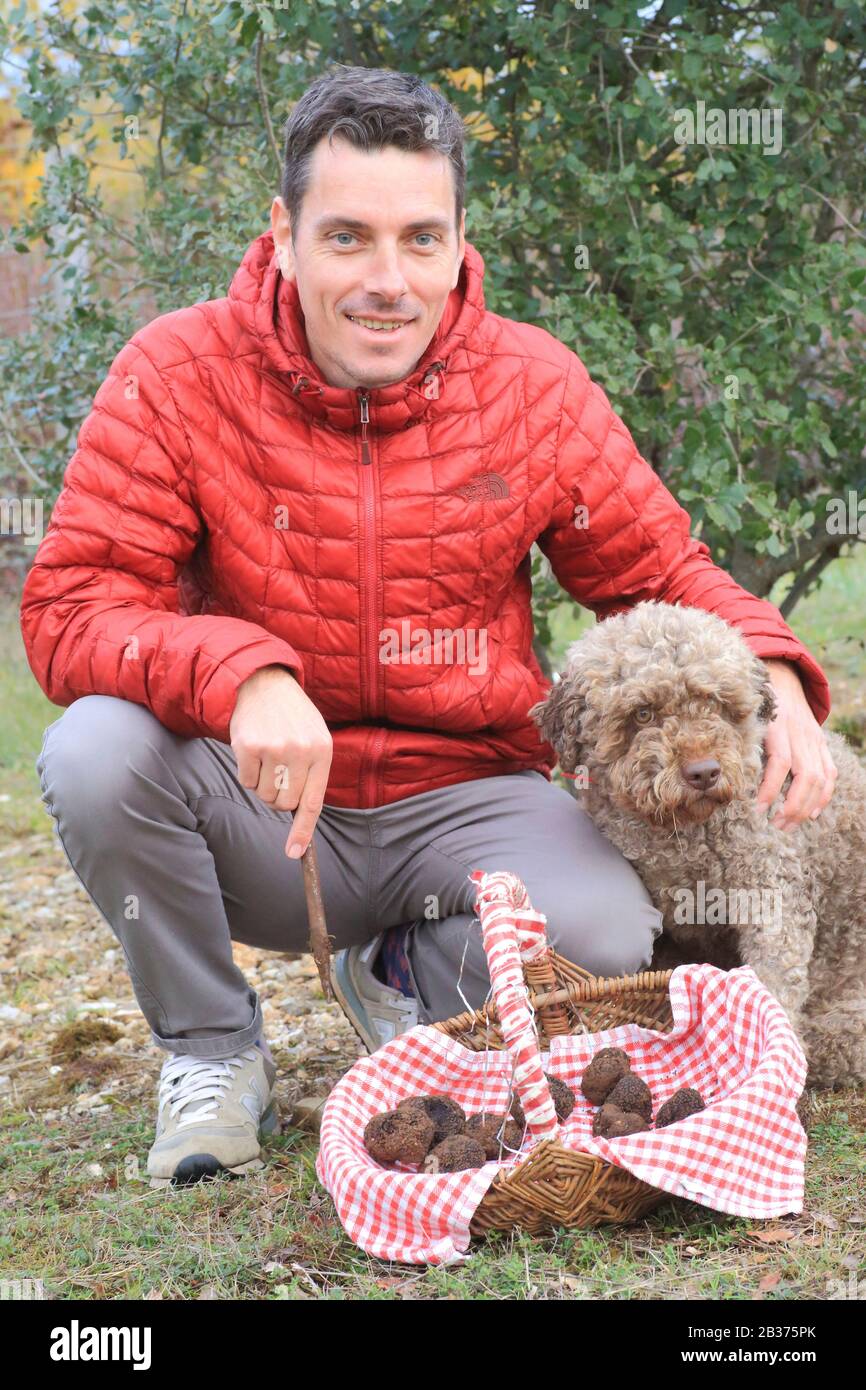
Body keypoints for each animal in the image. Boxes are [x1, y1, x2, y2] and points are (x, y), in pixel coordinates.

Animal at [528, 603, 866, 1089]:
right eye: (643, 714)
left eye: (717, 704)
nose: (704, 772)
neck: (683, 834)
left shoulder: (770, 886)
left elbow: (774, 976)